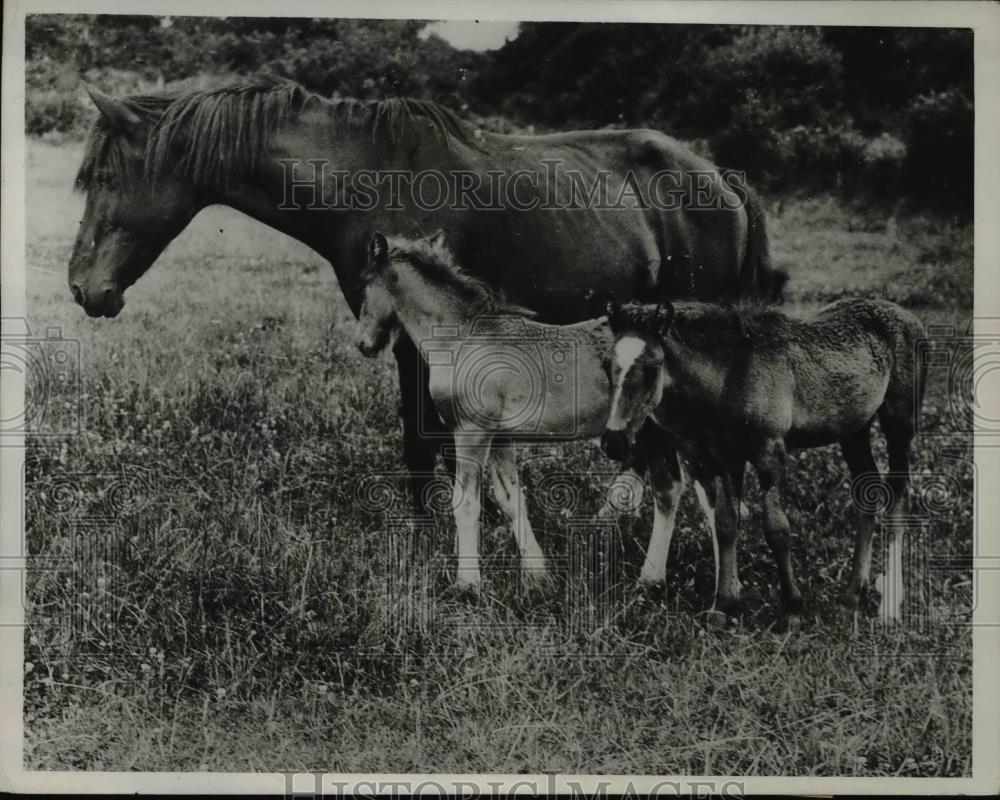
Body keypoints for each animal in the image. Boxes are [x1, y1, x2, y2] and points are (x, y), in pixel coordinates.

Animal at [68, 78, 780, 516]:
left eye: (104, 175)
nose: (81, 288)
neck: (367, 175)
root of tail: (723, 181)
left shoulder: (419, 335)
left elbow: (421, 434)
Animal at [596, 296, 924, 628]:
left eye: (652, 367)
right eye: (607, 366)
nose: (614, 442)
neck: (731, 373)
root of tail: (906, 316)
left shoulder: (769, 452)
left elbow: (776, 528)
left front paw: (792, 609)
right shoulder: (724, 456)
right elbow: (725, 522)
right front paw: (722, 606)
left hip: (899, 423)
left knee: (898, 498)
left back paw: (889, 607)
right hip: (854, 431)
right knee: (866, 493)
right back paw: (850, 598)